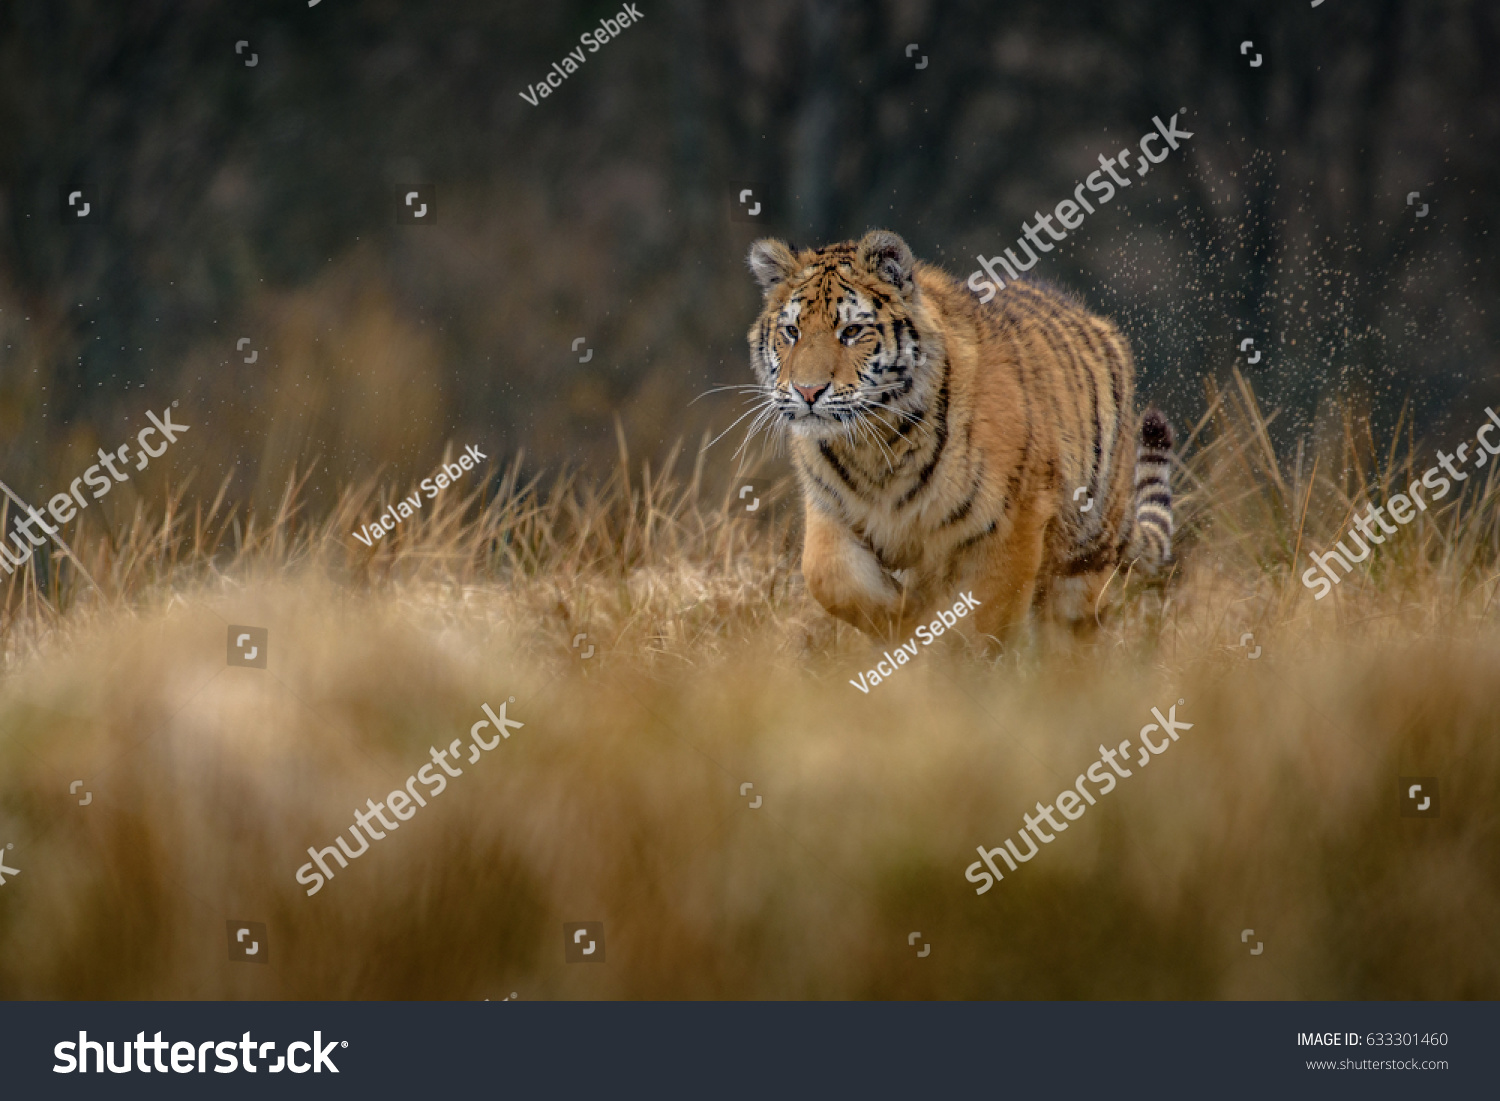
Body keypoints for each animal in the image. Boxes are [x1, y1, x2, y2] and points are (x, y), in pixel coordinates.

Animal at [743, 228, 1173, 645]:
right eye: (791, 331)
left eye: (851, 331)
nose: (807, 392)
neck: (874, 445)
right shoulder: (829, 508)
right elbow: (828, 576)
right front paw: (904, 622)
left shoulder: (1012, 524)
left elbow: (980, 622)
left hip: (1083, 555)